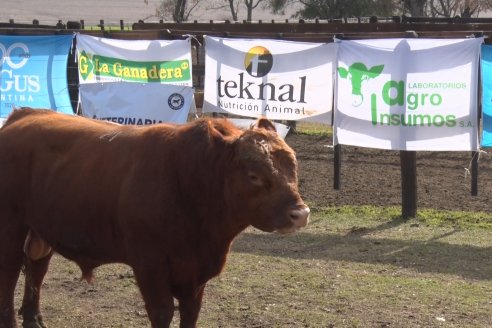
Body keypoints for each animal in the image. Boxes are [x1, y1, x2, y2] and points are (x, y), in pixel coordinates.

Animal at [0, 108, 308, 328]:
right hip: (11, 225)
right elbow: (162, 312)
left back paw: (33, 319)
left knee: (37, 267)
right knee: (9, 275)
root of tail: (23, 115)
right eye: (254, 176)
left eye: (293, 165)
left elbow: (190, 313)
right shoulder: (149, 263)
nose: (300, 214)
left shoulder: (195, 274)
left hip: (40, 228)